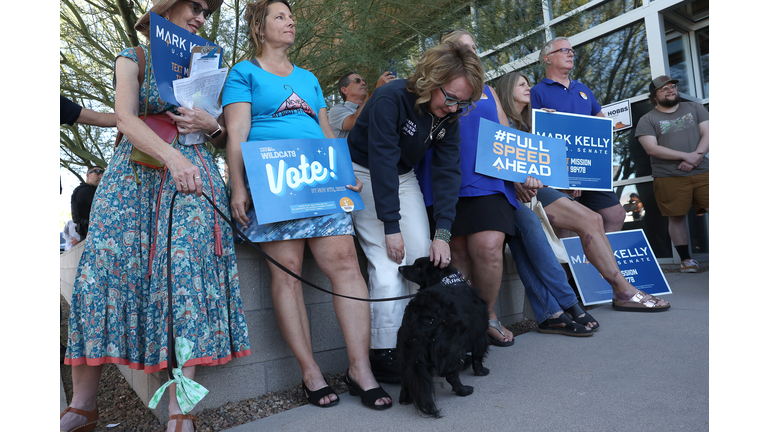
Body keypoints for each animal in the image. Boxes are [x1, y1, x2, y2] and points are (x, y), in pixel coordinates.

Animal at [396, 256, 492, 418]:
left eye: (418, 267)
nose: (400, 268)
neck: (446, 278)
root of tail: (420, 312)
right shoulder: (480, 333)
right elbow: (478, 357)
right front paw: (481, 372)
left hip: (406, 349)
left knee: (406, 375)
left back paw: (404, 399)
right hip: (453, 347)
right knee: (451, 375)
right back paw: (464, 390)